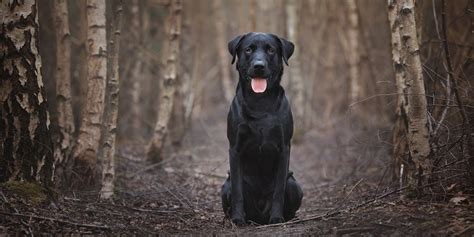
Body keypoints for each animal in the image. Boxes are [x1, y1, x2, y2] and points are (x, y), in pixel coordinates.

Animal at [222, 32, 304, 225]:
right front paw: (238, 219)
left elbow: (278, 191)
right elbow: (237, 191)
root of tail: (259, 218)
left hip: (294, 183)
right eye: (248, 49)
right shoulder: (235, 148)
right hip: (225, 186)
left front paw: (277, 218)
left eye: (271, 50)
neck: (259, 101)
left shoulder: (284, 148)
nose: (259, 66)